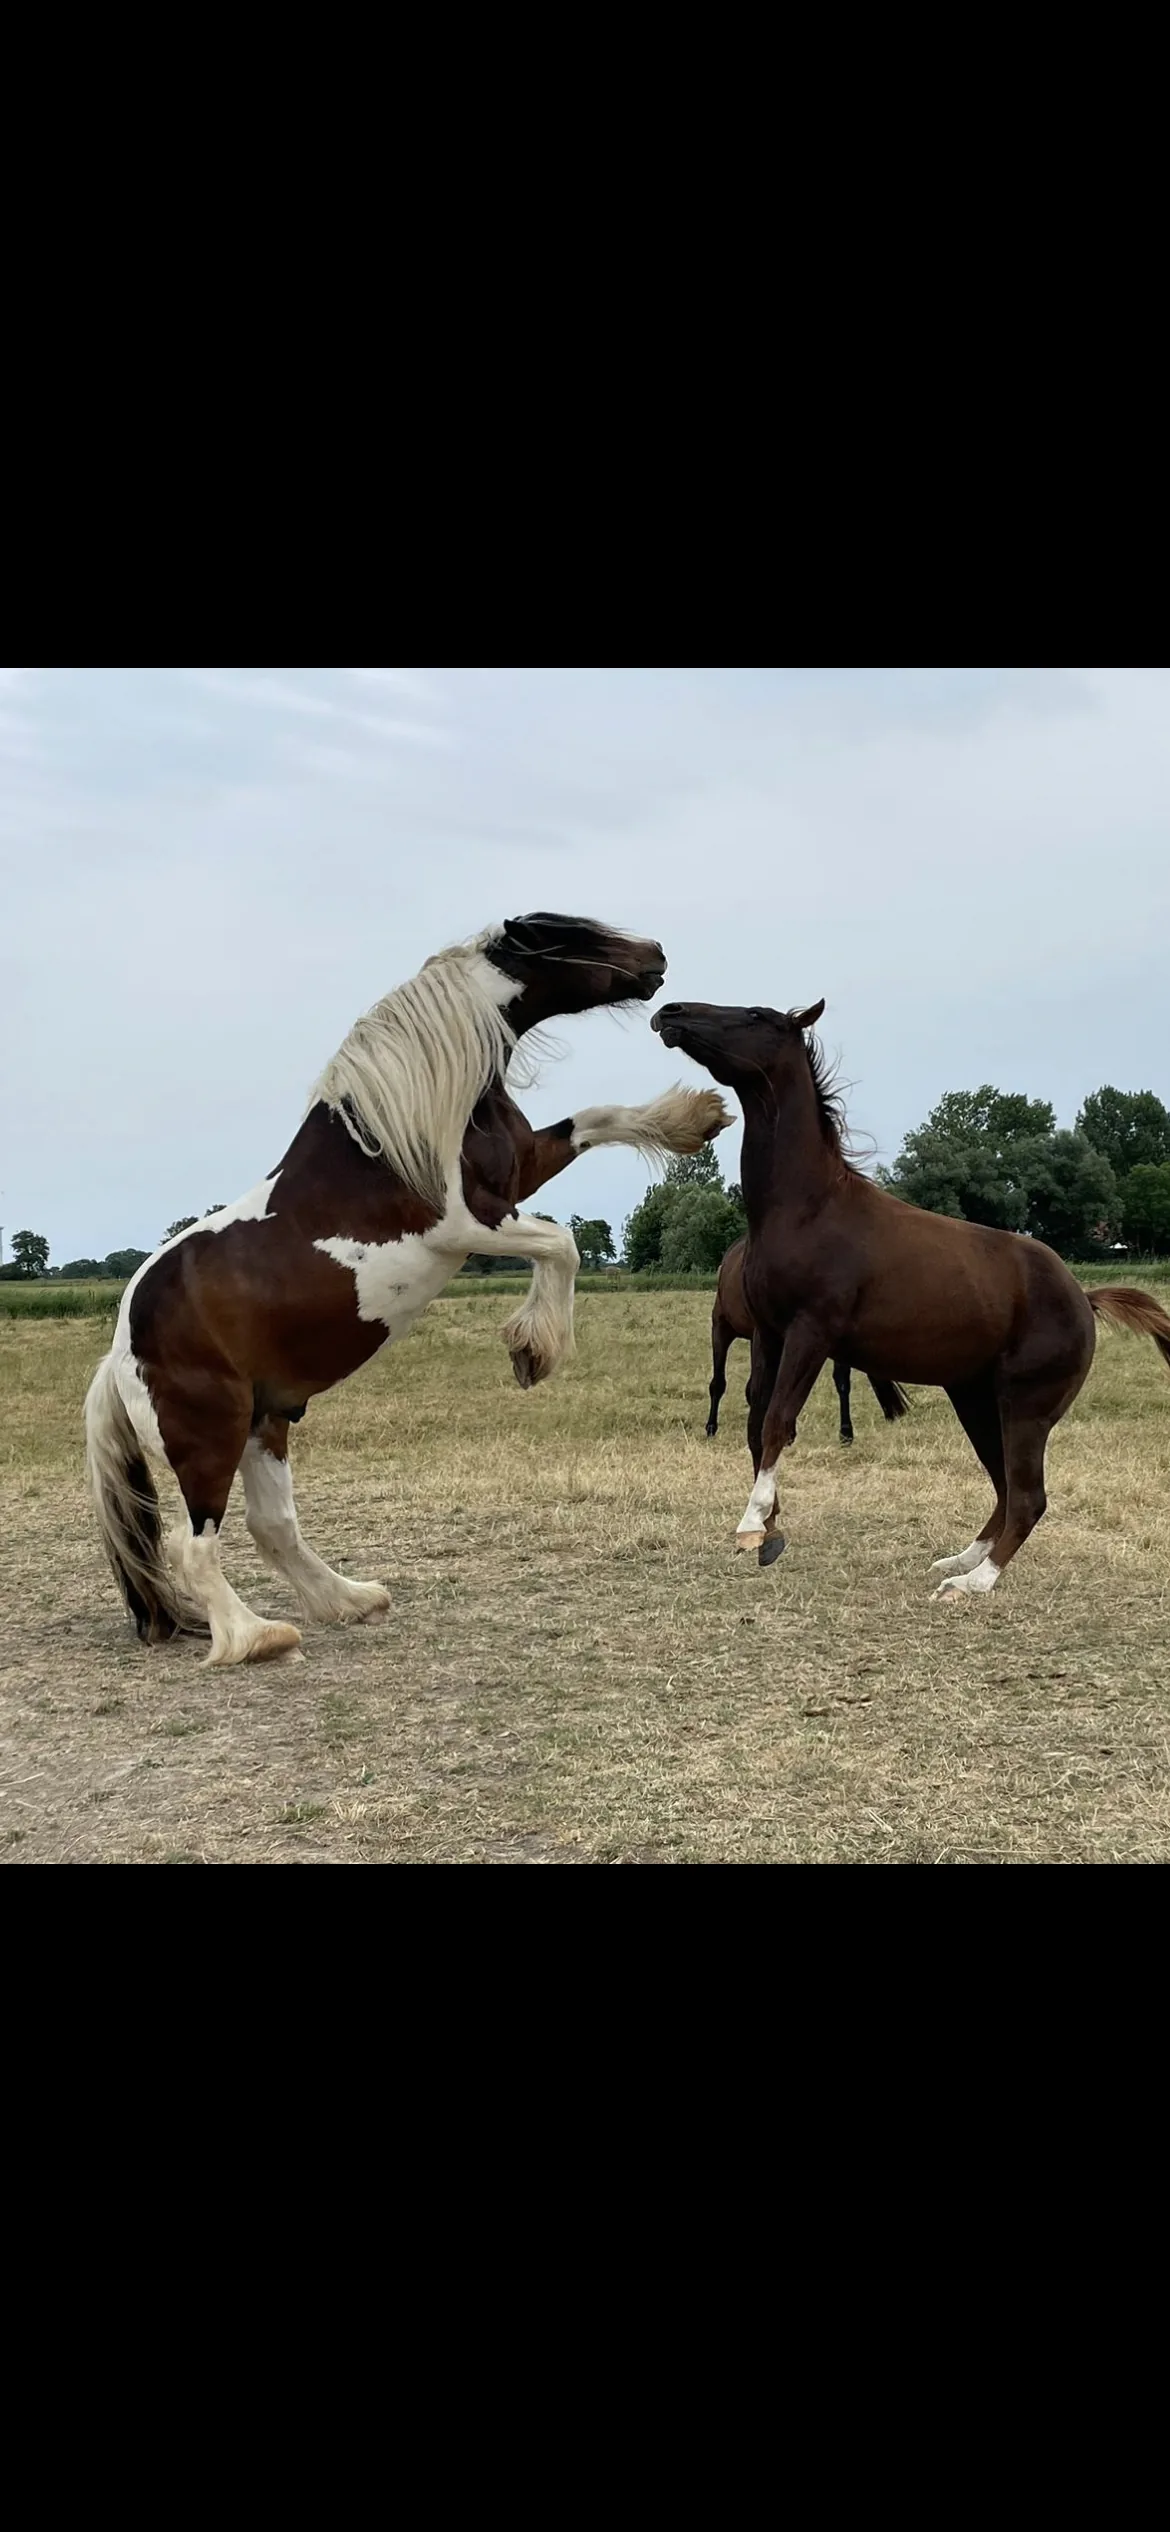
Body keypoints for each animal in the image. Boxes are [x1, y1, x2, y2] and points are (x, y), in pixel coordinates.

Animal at [86, 915, 731, 1666]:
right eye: (566, 931)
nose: (654, 957)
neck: (386, 1135)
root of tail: (119, 1354)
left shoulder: (519, 1168)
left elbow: (595, 1120)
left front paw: (694, 1117)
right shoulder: (463, 1224)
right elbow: (561, 1243)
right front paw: (533, 1350)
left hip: (264, 1423)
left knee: (272, 1526)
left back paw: (351, 1600)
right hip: (207, 1435)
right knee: (196, 1546)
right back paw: (256, 1638)